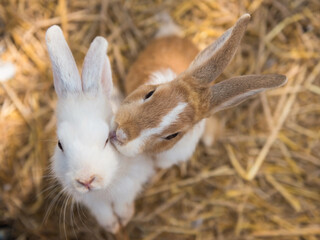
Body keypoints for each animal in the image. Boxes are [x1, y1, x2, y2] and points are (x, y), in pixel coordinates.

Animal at [45, 25, 154, 232]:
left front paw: (124, 218)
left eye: (106, 140)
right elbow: (103, 211)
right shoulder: (93, 202)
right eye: (60, 144)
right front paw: (112, 226)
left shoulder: (129, 185)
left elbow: (122, 203)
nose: (86, 180)